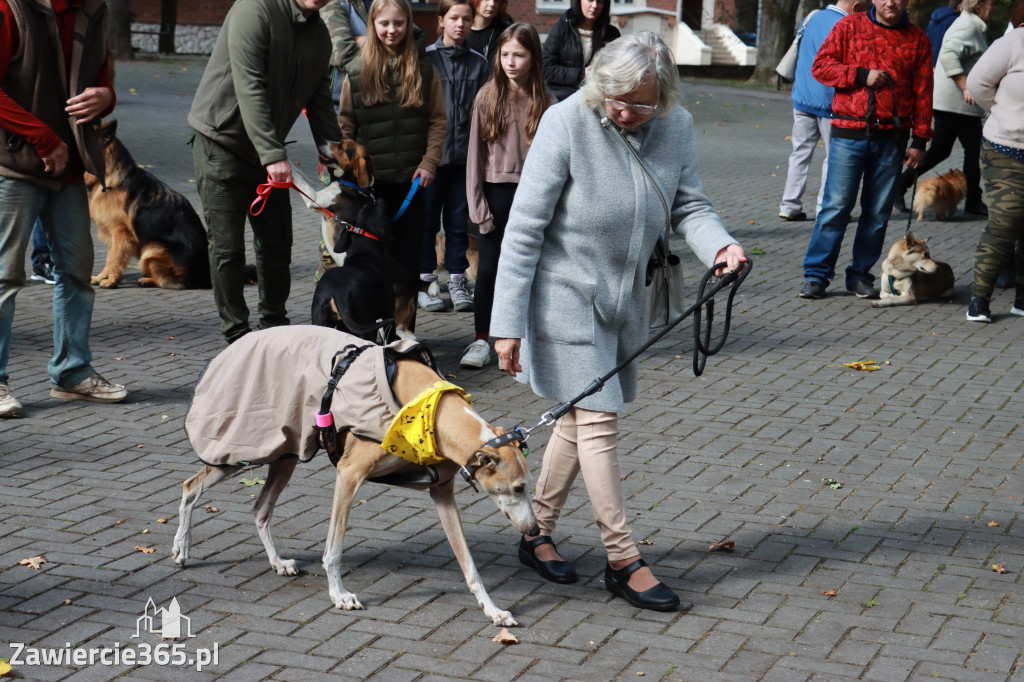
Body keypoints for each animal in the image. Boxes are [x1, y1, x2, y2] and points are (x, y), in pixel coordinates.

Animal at [84, 120, 211, 288]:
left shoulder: (120, 232)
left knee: (169, 281)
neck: (107, 177)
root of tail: (205, 278)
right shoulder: (114, 233)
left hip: (152, 249)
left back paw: (148, 280)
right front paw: (101, 277)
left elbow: (114, 258)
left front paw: (111, 281)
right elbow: (109, 257)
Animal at [169, 323, 536, 622]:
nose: (534, 530)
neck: (426, 410)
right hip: (242, 451)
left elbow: (468, 564)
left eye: (527, 487)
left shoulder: (441, 491)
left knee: (260, 508)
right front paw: (339, 595)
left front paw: (493, 611)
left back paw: (277, 562)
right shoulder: (349, 474)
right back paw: (181, 549)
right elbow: (333, 549)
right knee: (190, 486)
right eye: (517, 488)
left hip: (286, 452)